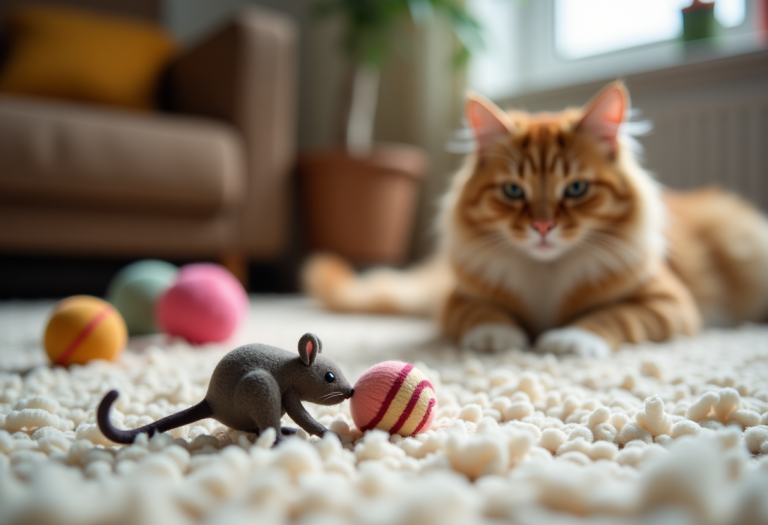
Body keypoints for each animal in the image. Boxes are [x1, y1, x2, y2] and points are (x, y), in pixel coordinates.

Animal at [304, 82, 768, 356]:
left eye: (576, 189)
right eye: (513, 191)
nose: (543, 227)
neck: (546, 273)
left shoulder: (669, 302)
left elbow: (612, 317)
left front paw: (569, 339)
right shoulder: (457, 300)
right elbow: (483, 316)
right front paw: (500, 338)